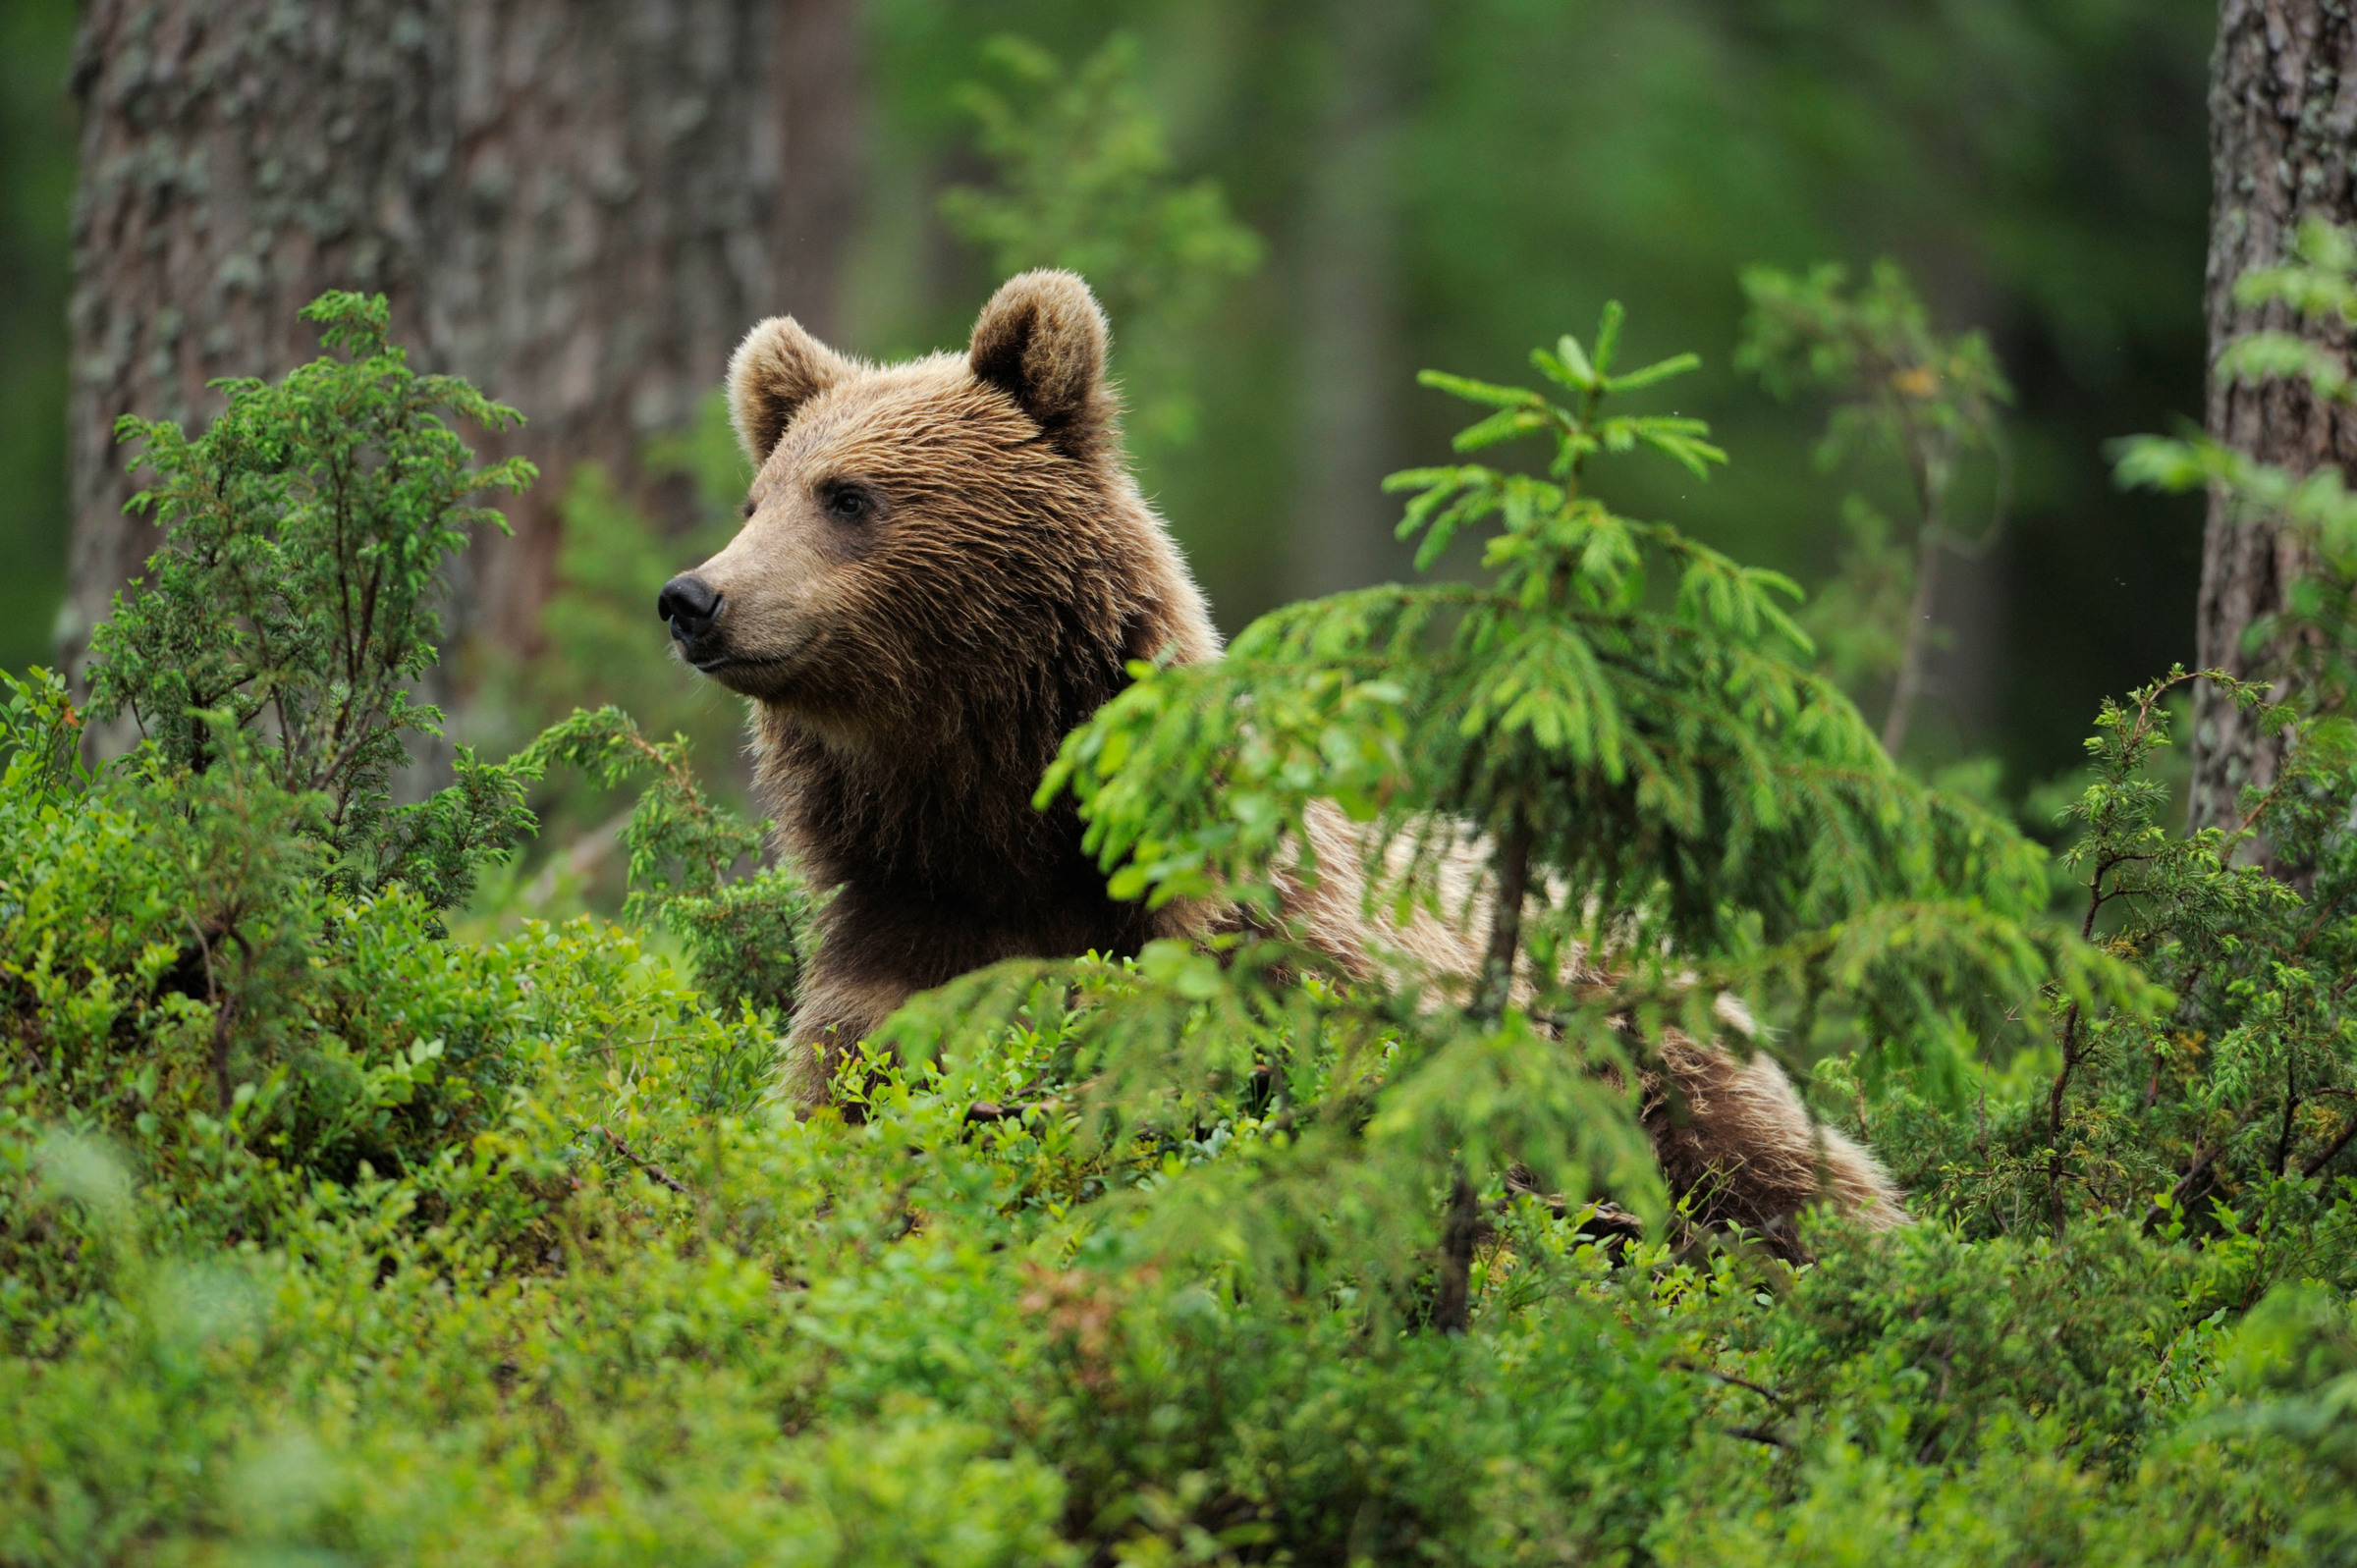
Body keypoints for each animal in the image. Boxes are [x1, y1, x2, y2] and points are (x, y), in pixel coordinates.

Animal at [655, 268, 1904, 1225]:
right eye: (758, 498)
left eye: (848, 496)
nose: (694, 597)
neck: (1008, 825)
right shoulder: (900, 952)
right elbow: (852, 1107)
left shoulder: (1262, 956)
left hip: (1649, 1052)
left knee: (1789, 1180)